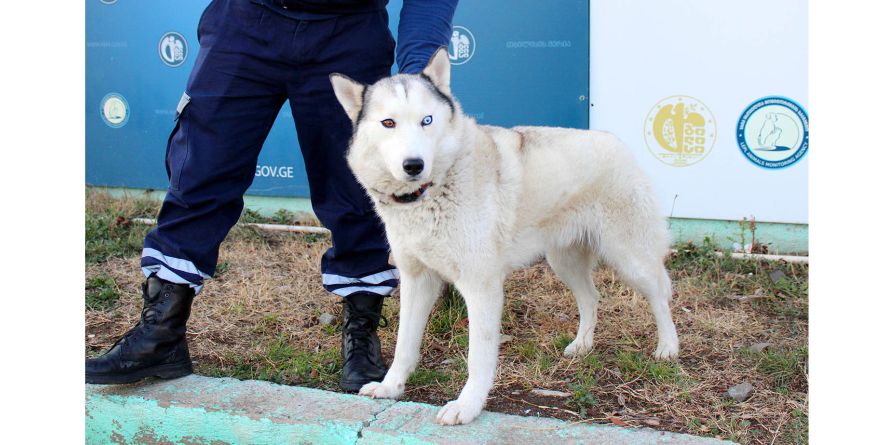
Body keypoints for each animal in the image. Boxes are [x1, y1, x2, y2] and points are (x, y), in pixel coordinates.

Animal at [332, 47, 680, 424]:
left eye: (426, 121)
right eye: (388, 123)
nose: (414, 165)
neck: (433, 190)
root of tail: (613, 140)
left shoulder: (481, 286)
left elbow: (478, 357)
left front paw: (468, 406)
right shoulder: (416, 280)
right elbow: (404, 345)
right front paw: (391, 387)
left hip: (630, 261)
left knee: (661, 295)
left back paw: (668, 348)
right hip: (564, 263)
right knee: (591, 298)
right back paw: (582, 346)